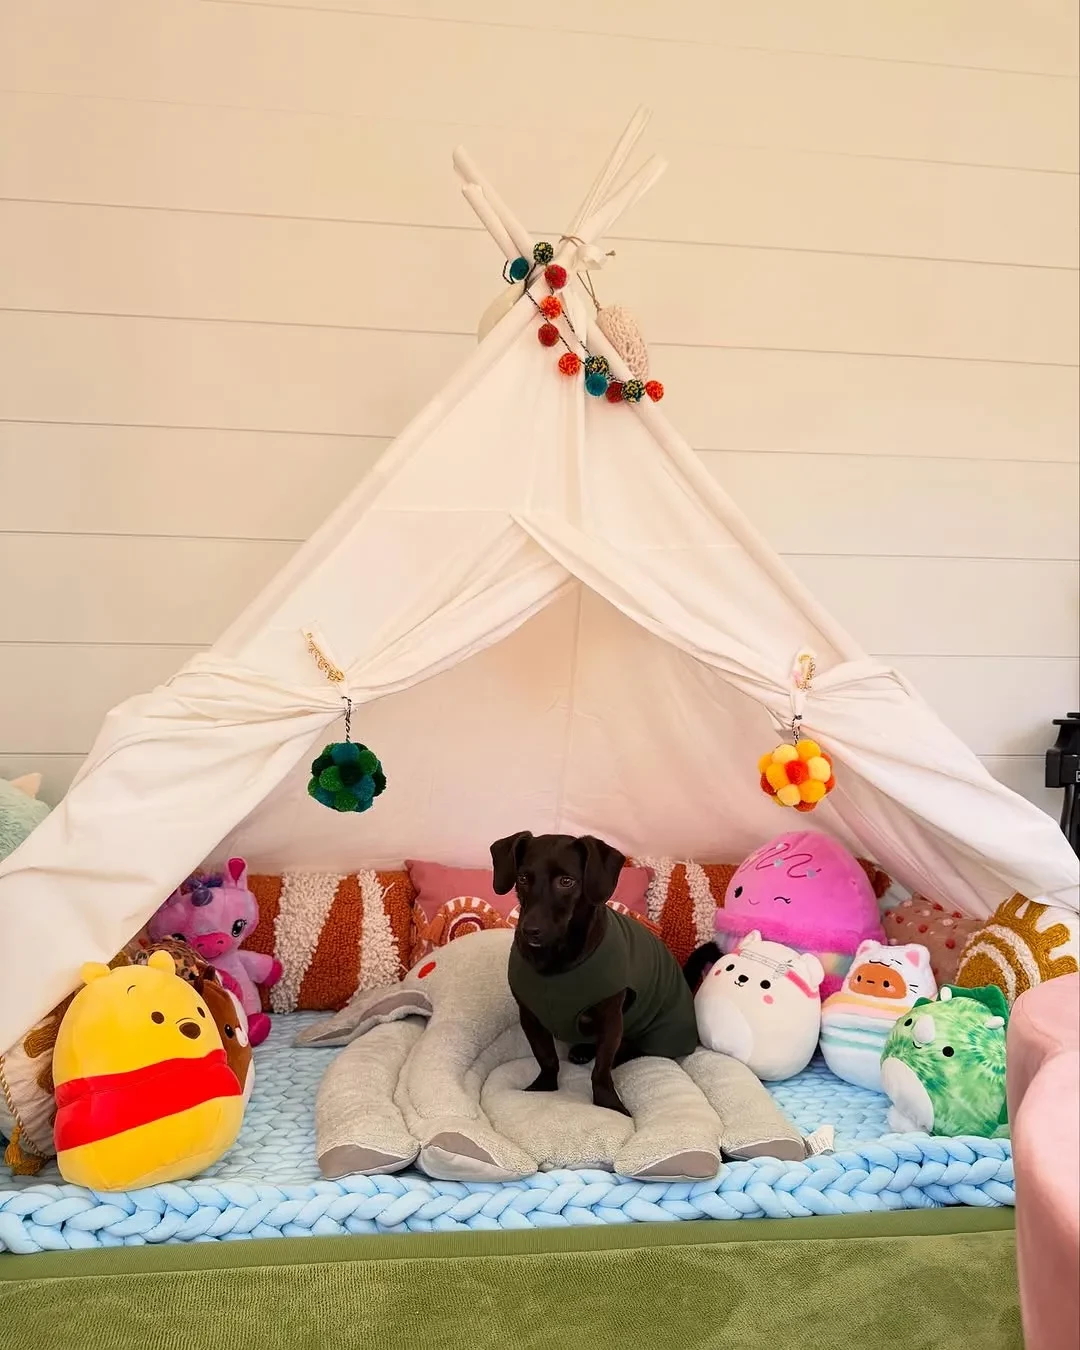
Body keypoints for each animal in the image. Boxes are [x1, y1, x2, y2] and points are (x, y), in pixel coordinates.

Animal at [491, 831, 698, 1116]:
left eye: (566, 881)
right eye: (522, 878)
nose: (529, 930)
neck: (555, 961)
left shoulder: (611, 1021)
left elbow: (601, 1070)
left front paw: (608, 1102)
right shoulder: (530, 1017)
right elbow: (546, 1057)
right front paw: (543, 1087)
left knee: (632, 1050)